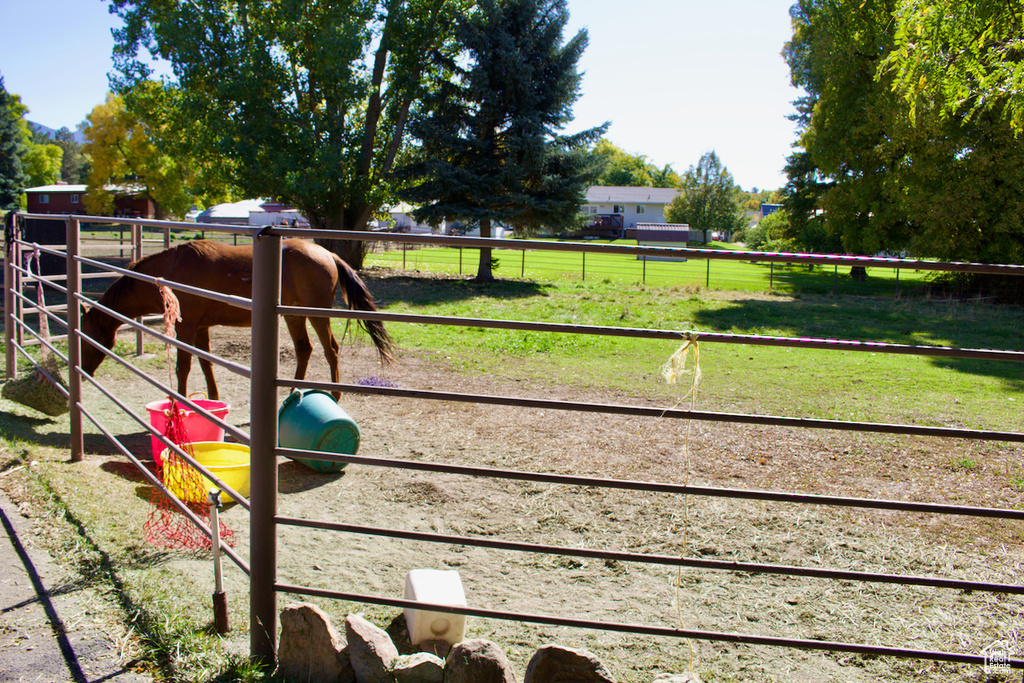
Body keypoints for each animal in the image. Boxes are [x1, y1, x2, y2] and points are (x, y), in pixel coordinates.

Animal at [80, 239, 395, 401]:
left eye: (88, 338)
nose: (83, 371)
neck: (170, 271)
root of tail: (327, 253)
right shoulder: (201, 327)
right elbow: (205, 362)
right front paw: (213, 400)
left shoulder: (187, 327)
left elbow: (184, 367)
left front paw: (180, 402)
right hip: (293, 315)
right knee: (304, 350)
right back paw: (292, 392)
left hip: (317, 316)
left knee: (331, 350)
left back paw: (335, 395)